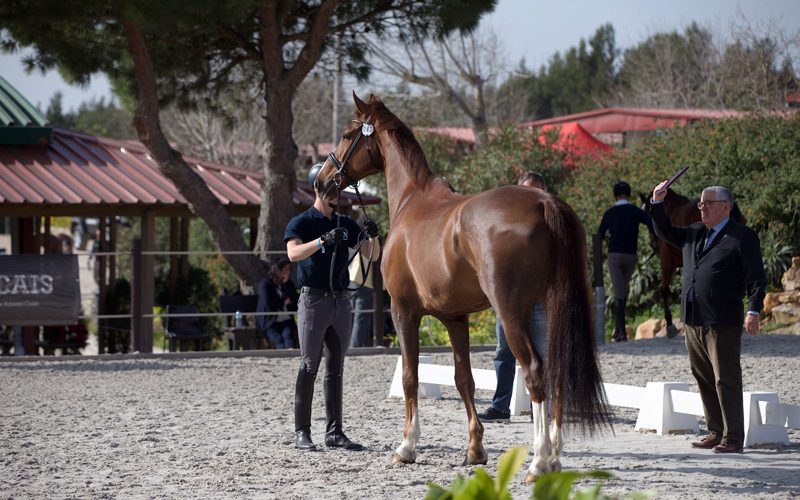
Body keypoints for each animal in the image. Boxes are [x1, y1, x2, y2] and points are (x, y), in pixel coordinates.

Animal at [318, 93, 612, 480]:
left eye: (347, 133)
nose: (322, 182)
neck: (413, 200)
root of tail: (544, 202)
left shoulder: (403, 311)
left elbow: (410, 376)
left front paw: (407, 446)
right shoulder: (456, 318)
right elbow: (464, 379)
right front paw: (475, 450)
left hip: (511, 313)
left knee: (535, 372)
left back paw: (539, 461)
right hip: (553, 305)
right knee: (558, 370)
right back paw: (556, 456)